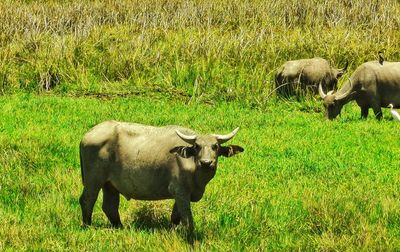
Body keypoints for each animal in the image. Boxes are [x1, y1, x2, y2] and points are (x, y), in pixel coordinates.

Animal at [78, 121, 244, 235]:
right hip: (93, 180)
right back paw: (87, 225)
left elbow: (175, 217)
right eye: (197, 146)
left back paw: (120, 227)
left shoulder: (182, 195)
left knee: (110, 206)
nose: (206, 162)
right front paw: (191, 235)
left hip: (110, 184)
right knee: (87, 200)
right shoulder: (180, 191)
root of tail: (86, 136)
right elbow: (187, 218)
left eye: (215, 146)